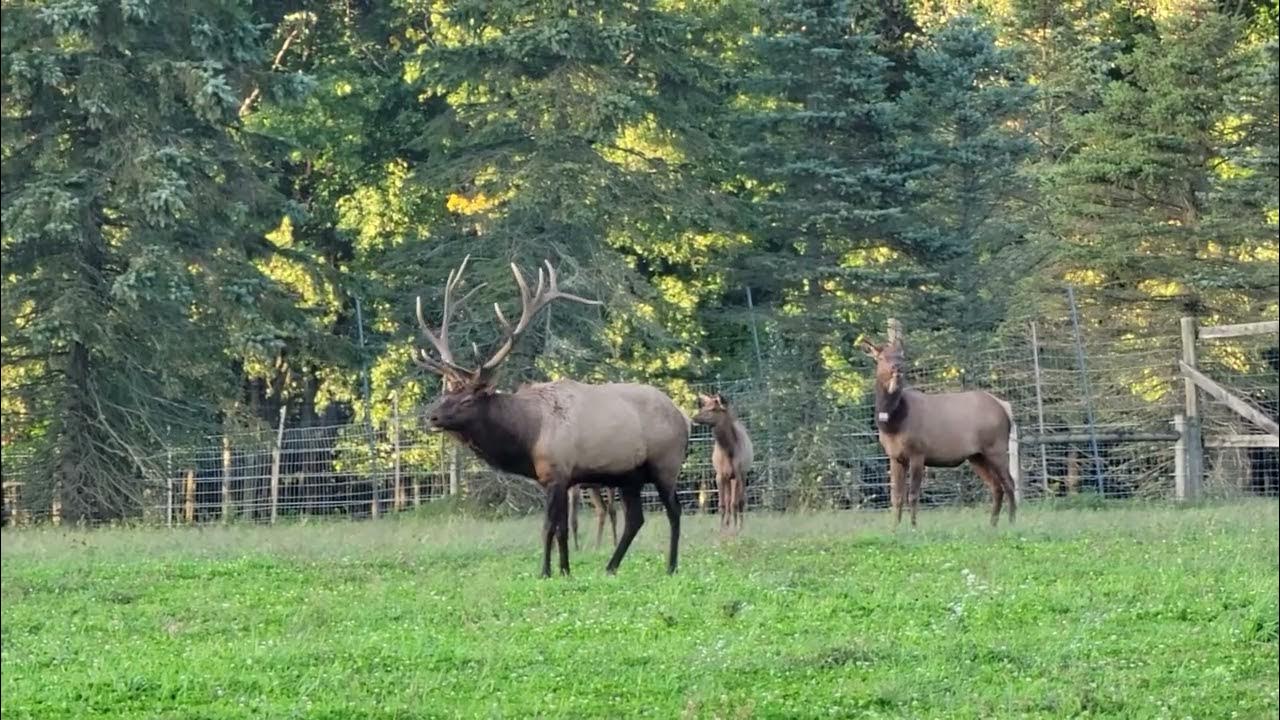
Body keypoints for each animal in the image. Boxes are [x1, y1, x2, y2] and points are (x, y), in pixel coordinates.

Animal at [413, 255, 690, 577]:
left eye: (467, 399)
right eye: (447, 394)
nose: (432, 417)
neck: (528, 435)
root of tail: (684, 417)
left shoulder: (558, 472)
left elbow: (548, 528)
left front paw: (545, 572)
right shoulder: (558, 479)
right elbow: (562, 530)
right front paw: (565, 570)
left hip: (665, 464)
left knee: (674, 511)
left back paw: (671, 566)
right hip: (629, 476)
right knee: (635, 519)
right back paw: (610, 567)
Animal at [692, 393, 753, 534]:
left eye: (714, 409)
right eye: (704, 406)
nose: (694, 417)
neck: (727, 451)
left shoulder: (737, 473)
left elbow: (734, 503)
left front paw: (735, 529)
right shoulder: (719, 475)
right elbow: (722, 504)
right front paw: (722, 528)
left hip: (743, 475)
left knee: (741, 501)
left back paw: (740, 525)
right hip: (728, 479)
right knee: (729, 500)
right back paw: (728, 523)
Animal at [859, 336, 1018, 528]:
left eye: (901, 356)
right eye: (881, 358)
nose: (897, 367)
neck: (892, 424)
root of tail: (1005, 408)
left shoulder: (918, 453)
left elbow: (913, 495)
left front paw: (913, 527)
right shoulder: (895, 457)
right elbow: (896, 497)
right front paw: (894, 528)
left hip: (996, 446)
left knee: (1009, 482)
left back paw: (1012, 522)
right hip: (977, 456)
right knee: (996, 486)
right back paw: (992, 524)